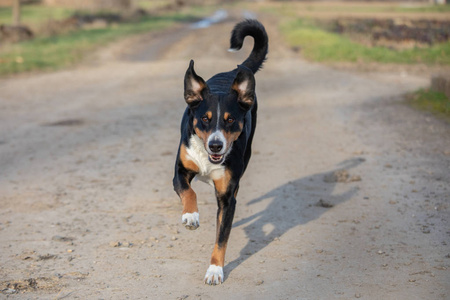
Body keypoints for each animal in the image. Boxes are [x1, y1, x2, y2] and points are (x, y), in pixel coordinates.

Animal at [173, 19, 268, 284]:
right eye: (205, 119)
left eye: (230, 120)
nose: (216, 145)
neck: (209, 160)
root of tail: (232, 73)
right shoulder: (180, 170)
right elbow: (188, 192)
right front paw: (191, 216)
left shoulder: (227, 198)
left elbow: (221, 238)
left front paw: (215, 270)